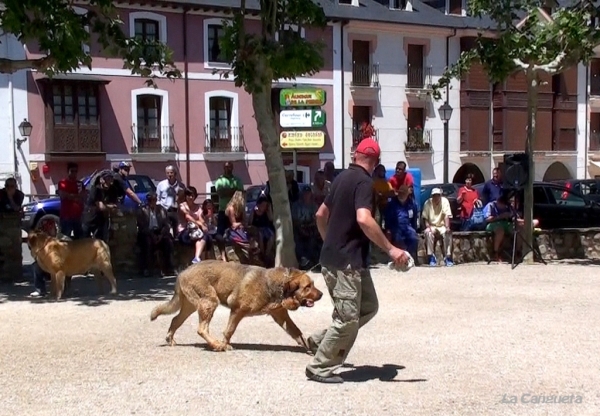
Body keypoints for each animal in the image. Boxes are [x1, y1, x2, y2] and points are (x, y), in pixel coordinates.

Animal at [152, 262, 326, 352]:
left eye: (313, 284)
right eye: (308, 287)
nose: (322, 294)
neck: (278, 285)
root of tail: (182, 272)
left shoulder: (281, 316)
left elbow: (297, 332)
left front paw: (311, 348)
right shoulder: (237, 310)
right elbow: (229, 330)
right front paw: (224, 344)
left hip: (192, 306)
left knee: (175, 320)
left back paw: (170, 340)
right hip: (209, 302)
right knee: (201, 329)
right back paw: (216, 345)